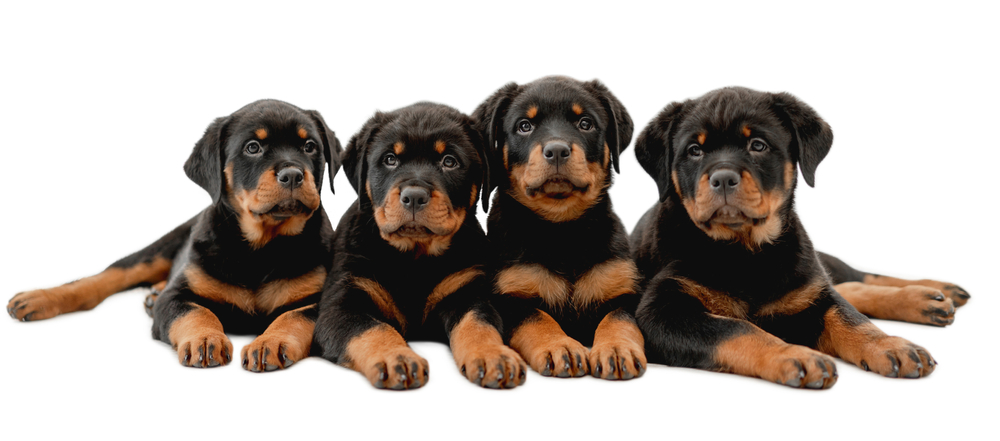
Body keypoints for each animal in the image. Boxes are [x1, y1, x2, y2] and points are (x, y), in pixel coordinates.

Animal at [5, 99, 344, 372]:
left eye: (310, 147)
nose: (293, 175)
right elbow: (195, 312)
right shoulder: (177, 296)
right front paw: (204, 339)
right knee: (105, 277)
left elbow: (293, 317)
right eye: (253, 147)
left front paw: (269, 343)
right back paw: (36, 298)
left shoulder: (321, 300)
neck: (260, 247)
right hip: (161, 248)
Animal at [316, 102, 528, 388]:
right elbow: (372, 328)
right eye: (390, 159)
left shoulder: (468, 292)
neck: (414, 259)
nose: (414, 196)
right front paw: (397, 357)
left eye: (449, 161)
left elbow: (479, 324)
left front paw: (495, 355)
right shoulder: (341, 303)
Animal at [470, 75, 644, 378]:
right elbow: (538, 318)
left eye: (585, 123)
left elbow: (618, 319)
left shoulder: (624, 291)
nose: (557, 150)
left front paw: (617, 349)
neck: (563, 231)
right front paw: (560, 346)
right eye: (524, 126)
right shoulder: (510, 296)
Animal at [628, 87, 956, 388]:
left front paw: (891, 345)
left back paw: (934, 292)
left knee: (854, 279)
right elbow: (736, 329)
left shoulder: (814, 293)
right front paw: (794, 355)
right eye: (694, 150)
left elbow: (850, 318)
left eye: (758, 145)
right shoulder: (662, 312)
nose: (722, 178)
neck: (744, 251)